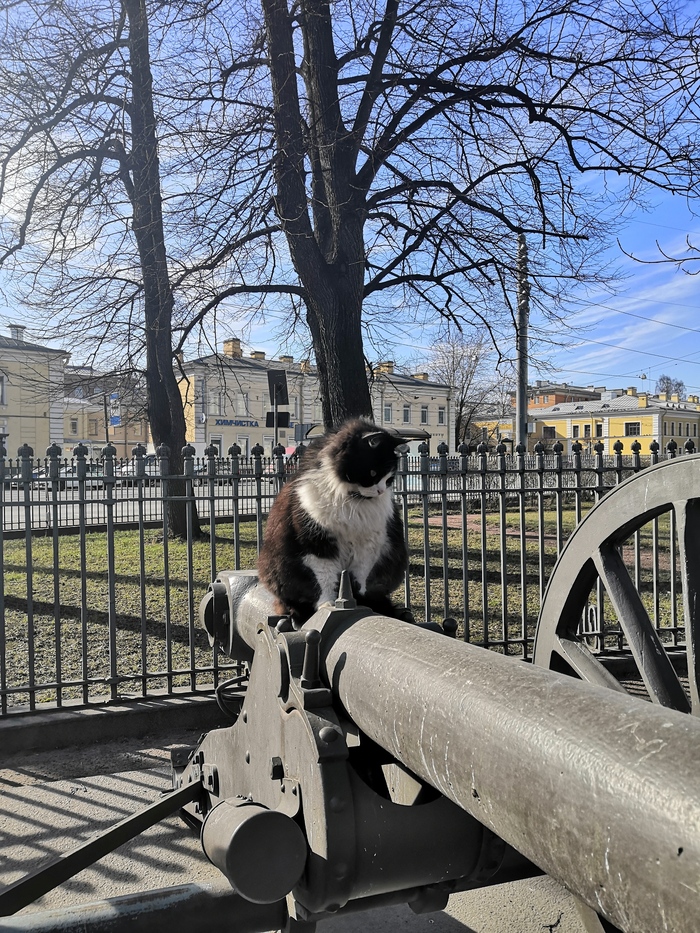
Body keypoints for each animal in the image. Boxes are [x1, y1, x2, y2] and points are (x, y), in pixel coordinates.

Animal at [258, 418, 408, 624]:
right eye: (373, 473)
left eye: (389, 479)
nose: (380, 491)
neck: (353, 499)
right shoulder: (316, 546)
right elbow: (326, 582)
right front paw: (329, 605)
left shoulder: (370, 545)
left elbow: (360, 579)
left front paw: (361, 601)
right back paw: (296, 615)